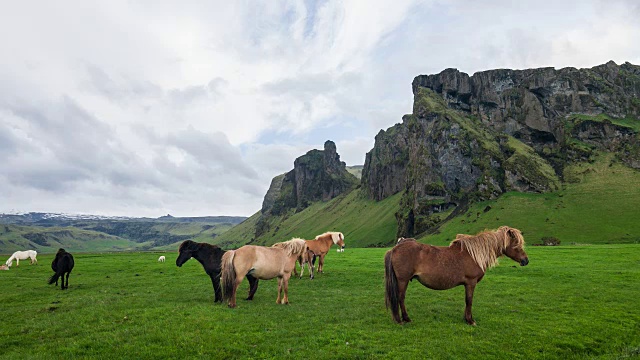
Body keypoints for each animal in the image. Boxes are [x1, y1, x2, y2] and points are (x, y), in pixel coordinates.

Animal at [384, 228, 528, 326]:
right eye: (516, 245)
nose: (525, 261)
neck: (474, 254)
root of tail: (395, 248)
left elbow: (467, 301)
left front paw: (467, 318)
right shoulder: (471, 283)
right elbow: (469, 300)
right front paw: (470, 320)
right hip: (403, 281)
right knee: (400, 298)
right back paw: (403, 319)